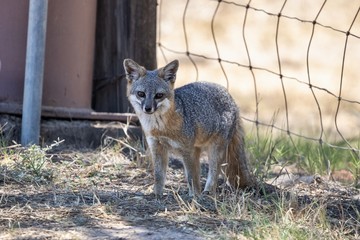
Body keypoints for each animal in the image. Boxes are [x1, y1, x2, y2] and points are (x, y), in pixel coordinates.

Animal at [124, 59, 256, 198]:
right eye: (141, 94)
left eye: (159, 95)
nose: (148, 108)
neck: (160, 128)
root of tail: (232, 99)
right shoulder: (157, 147)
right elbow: (159, 176)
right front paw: (157, 194)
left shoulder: (186, 150)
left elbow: (190, 177)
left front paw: (194, 197)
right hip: (197, 150)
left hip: (214, 149)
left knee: (214, 172)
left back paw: (207, 191)